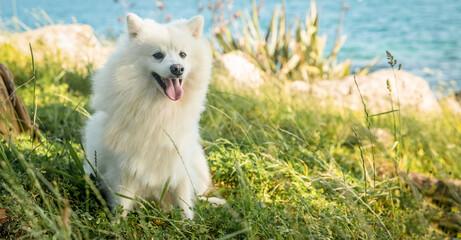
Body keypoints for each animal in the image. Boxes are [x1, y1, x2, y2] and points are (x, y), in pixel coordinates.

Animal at [84, 13, 214, 219]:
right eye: (158, 55)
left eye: (183, 54)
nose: (178, 68)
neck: (160, 108)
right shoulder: (125, 166)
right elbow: (122, 201)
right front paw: (117, 224)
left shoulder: (180, 161)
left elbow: (184, 200)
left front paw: (189, 223)